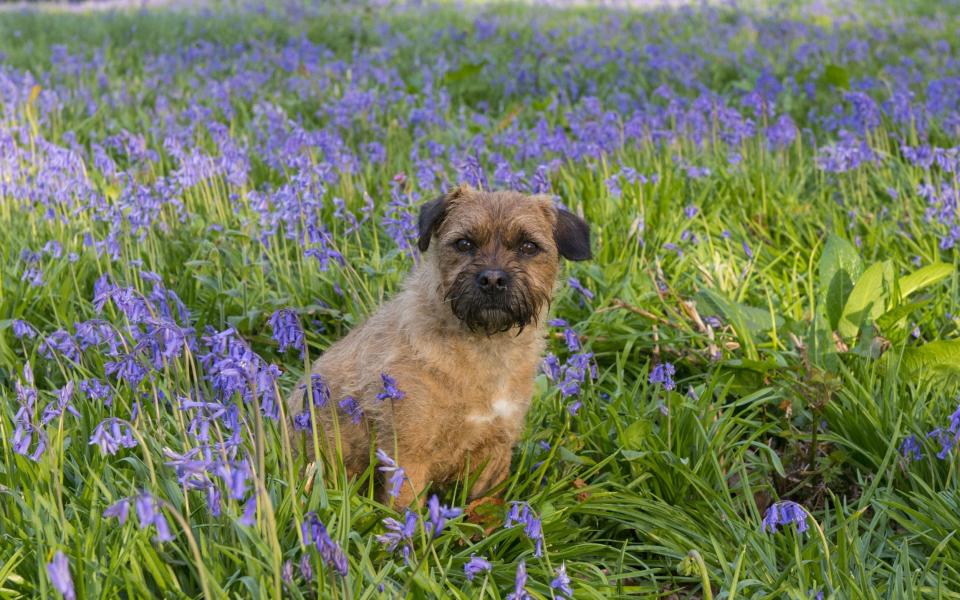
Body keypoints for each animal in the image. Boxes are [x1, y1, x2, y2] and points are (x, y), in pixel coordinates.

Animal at [288, 184, 592, 506]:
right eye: (464, 243)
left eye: (528, 247)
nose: (493, 279)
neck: (482, 349)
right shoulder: (408, 456)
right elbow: (407, 510)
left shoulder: (494, 453)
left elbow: (485, 508)